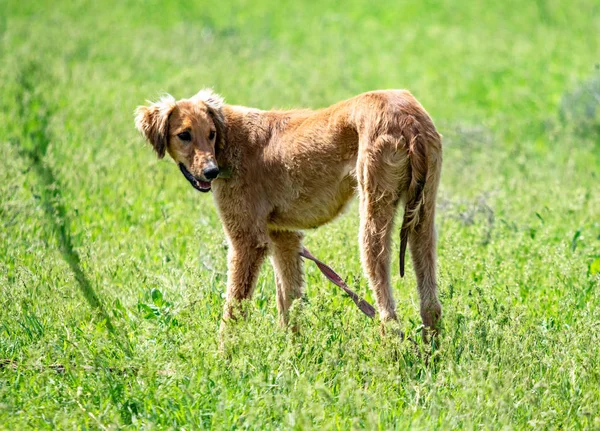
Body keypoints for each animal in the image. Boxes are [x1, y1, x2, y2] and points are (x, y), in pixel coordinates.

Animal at [138, 89, 442, 336]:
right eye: (184, 135)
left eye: (210, 134)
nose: (210, 172)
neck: (228, 136)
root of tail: (407, 118)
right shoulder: (283, 237)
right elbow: (289, 304)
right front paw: (292, 353)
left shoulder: (248, 242)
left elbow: (233, 313)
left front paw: (224, 361)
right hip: (423, 218)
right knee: (431, 306)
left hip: (373, 223)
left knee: (388, 316)